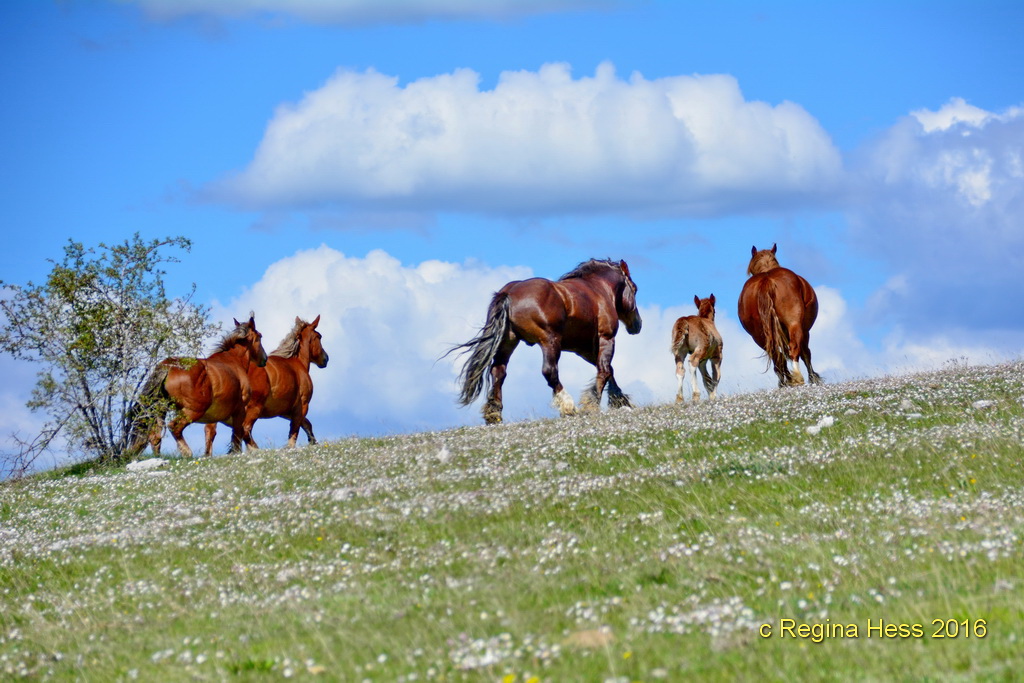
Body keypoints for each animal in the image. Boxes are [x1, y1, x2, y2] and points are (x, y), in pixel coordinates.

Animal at [128, 317, 268, 456]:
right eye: (260, 337)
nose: (265, 359)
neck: (234, 361)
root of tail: (168, 366)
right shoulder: (240, 410)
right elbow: (238, 435)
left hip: (160, 410)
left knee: (155, 437)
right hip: (193, 410)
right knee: (174, 427)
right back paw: (187, 453)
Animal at [205, 315, 333, 454]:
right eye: (319, 336)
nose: (326, 358)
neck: (297, 364)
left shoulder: (286, 411)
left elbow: (306, 424)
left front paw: (313, 442)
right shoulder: (302, 406)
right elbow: (295, 430)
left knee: (212, 431)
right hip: (253, 409)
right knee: (245, 430)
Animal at [448, 259, 638, 423]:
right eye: (634, 289)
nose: (637, 325)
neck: (597, 290)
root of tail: (509, 293)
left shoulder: (584, 348)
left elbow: (608, 369)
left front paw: (621, 400)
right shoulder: (605, 338)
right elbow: (604, 370)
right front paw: (593, 405)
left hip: (508, 341)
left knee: (498, 371)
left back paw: (494, 413)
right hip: (549, 341)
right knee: (550, 372)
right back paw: (568, 406)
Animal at [741, 242, 819, 387]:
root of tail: (767, 280)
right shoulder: (805, 330)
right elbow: (806, 353)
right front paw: (813, 378)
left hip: (759, 335)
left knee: (777, 356)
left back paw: (785, 381)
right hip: (794, 324)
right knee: (794, 348)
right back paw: (797, 378)